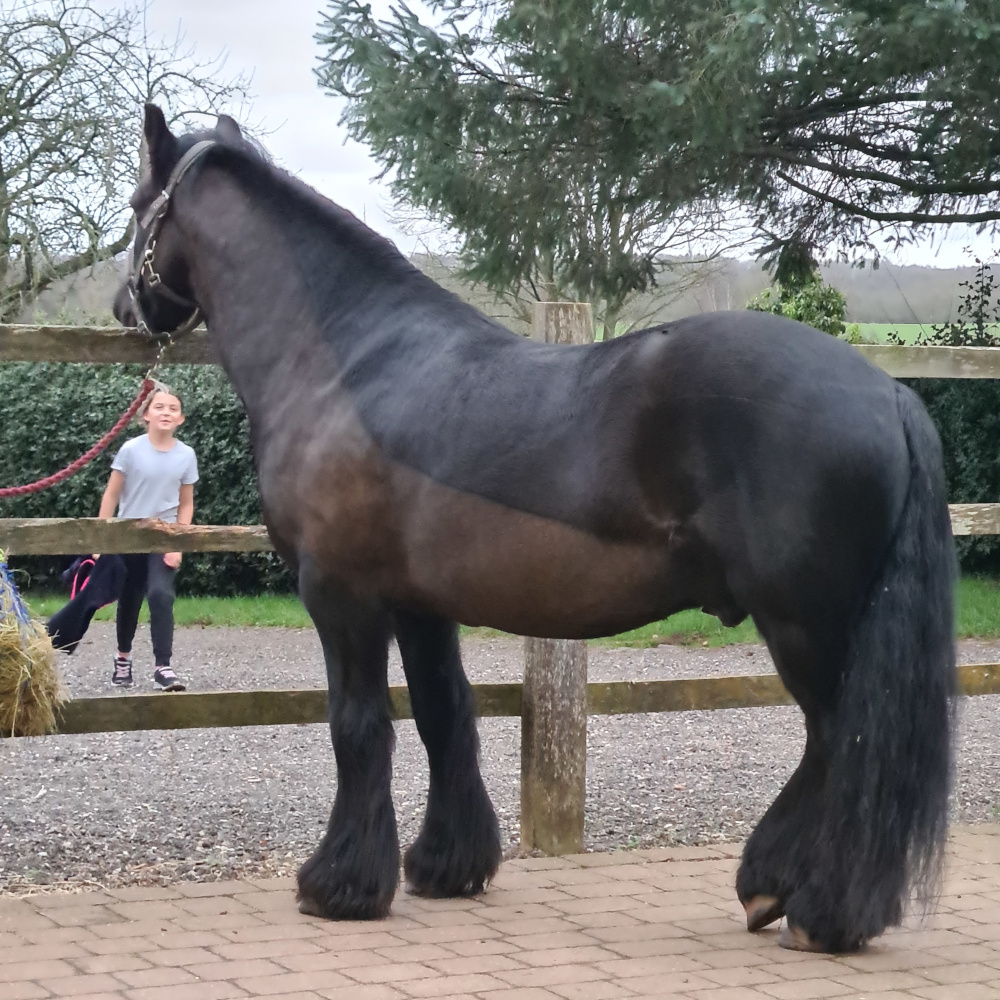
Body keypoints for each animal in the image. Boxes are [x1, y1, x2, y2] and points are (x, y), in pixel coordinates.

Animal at [114, 105, 956, 954]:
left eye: (134, 205)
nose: (124, 308)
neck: (350, 364)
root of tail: (888, 394)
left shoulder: (339, 593)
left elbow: (358, 727)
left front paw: (338, 885)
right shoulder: (419, 603)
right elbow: (443, 713)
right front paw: (447, 865)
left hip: (805, 625)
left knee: (844, 742)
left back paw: (812, 906)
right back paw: (779, 888)